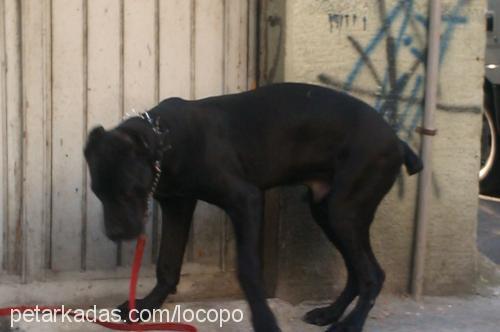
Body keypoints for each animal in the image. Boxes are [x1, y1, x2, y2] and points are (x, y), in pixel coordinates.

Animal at [85, 81, 422, 330]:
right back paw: (330, 313)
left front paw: (264, 321)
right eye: (97, 192)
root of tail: (398, 141)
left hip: (344, 211)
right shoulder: (177, 205)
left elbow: (247, 269)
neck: (165, 138)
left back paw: (348, 326)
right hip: (327, 211)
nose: (115, 234)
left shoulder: (245, 201)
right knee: (356, 271)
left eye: (130, 190)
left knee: (372, 275)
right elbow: (168, 262)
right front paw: (145, 307)